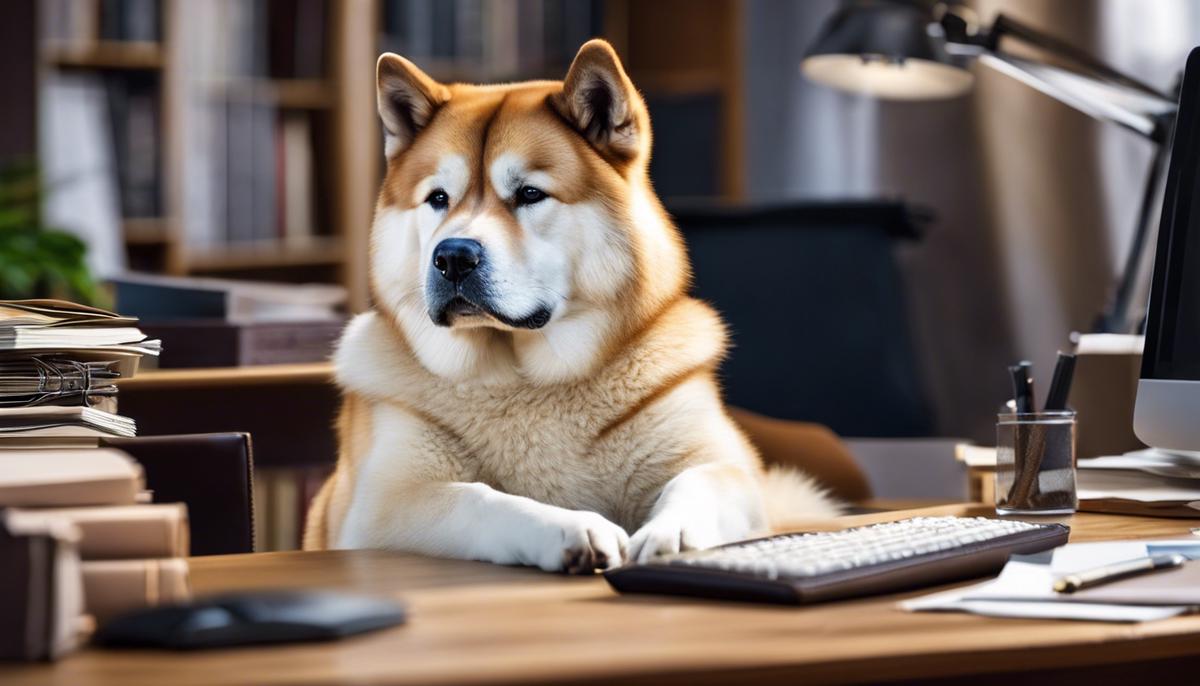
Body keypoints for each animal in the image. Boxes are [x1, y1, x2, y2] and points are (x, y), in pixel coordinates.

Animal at [304, 40, 840, 570]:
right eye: (438, 198)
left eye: (529, 194)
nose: (453, 257)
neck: (528, 381)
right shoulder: (385, 501)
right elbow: (481, 498)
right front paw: (567, 526)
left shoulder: (726, 466)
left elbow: (702, 482)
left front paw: (674, 533)